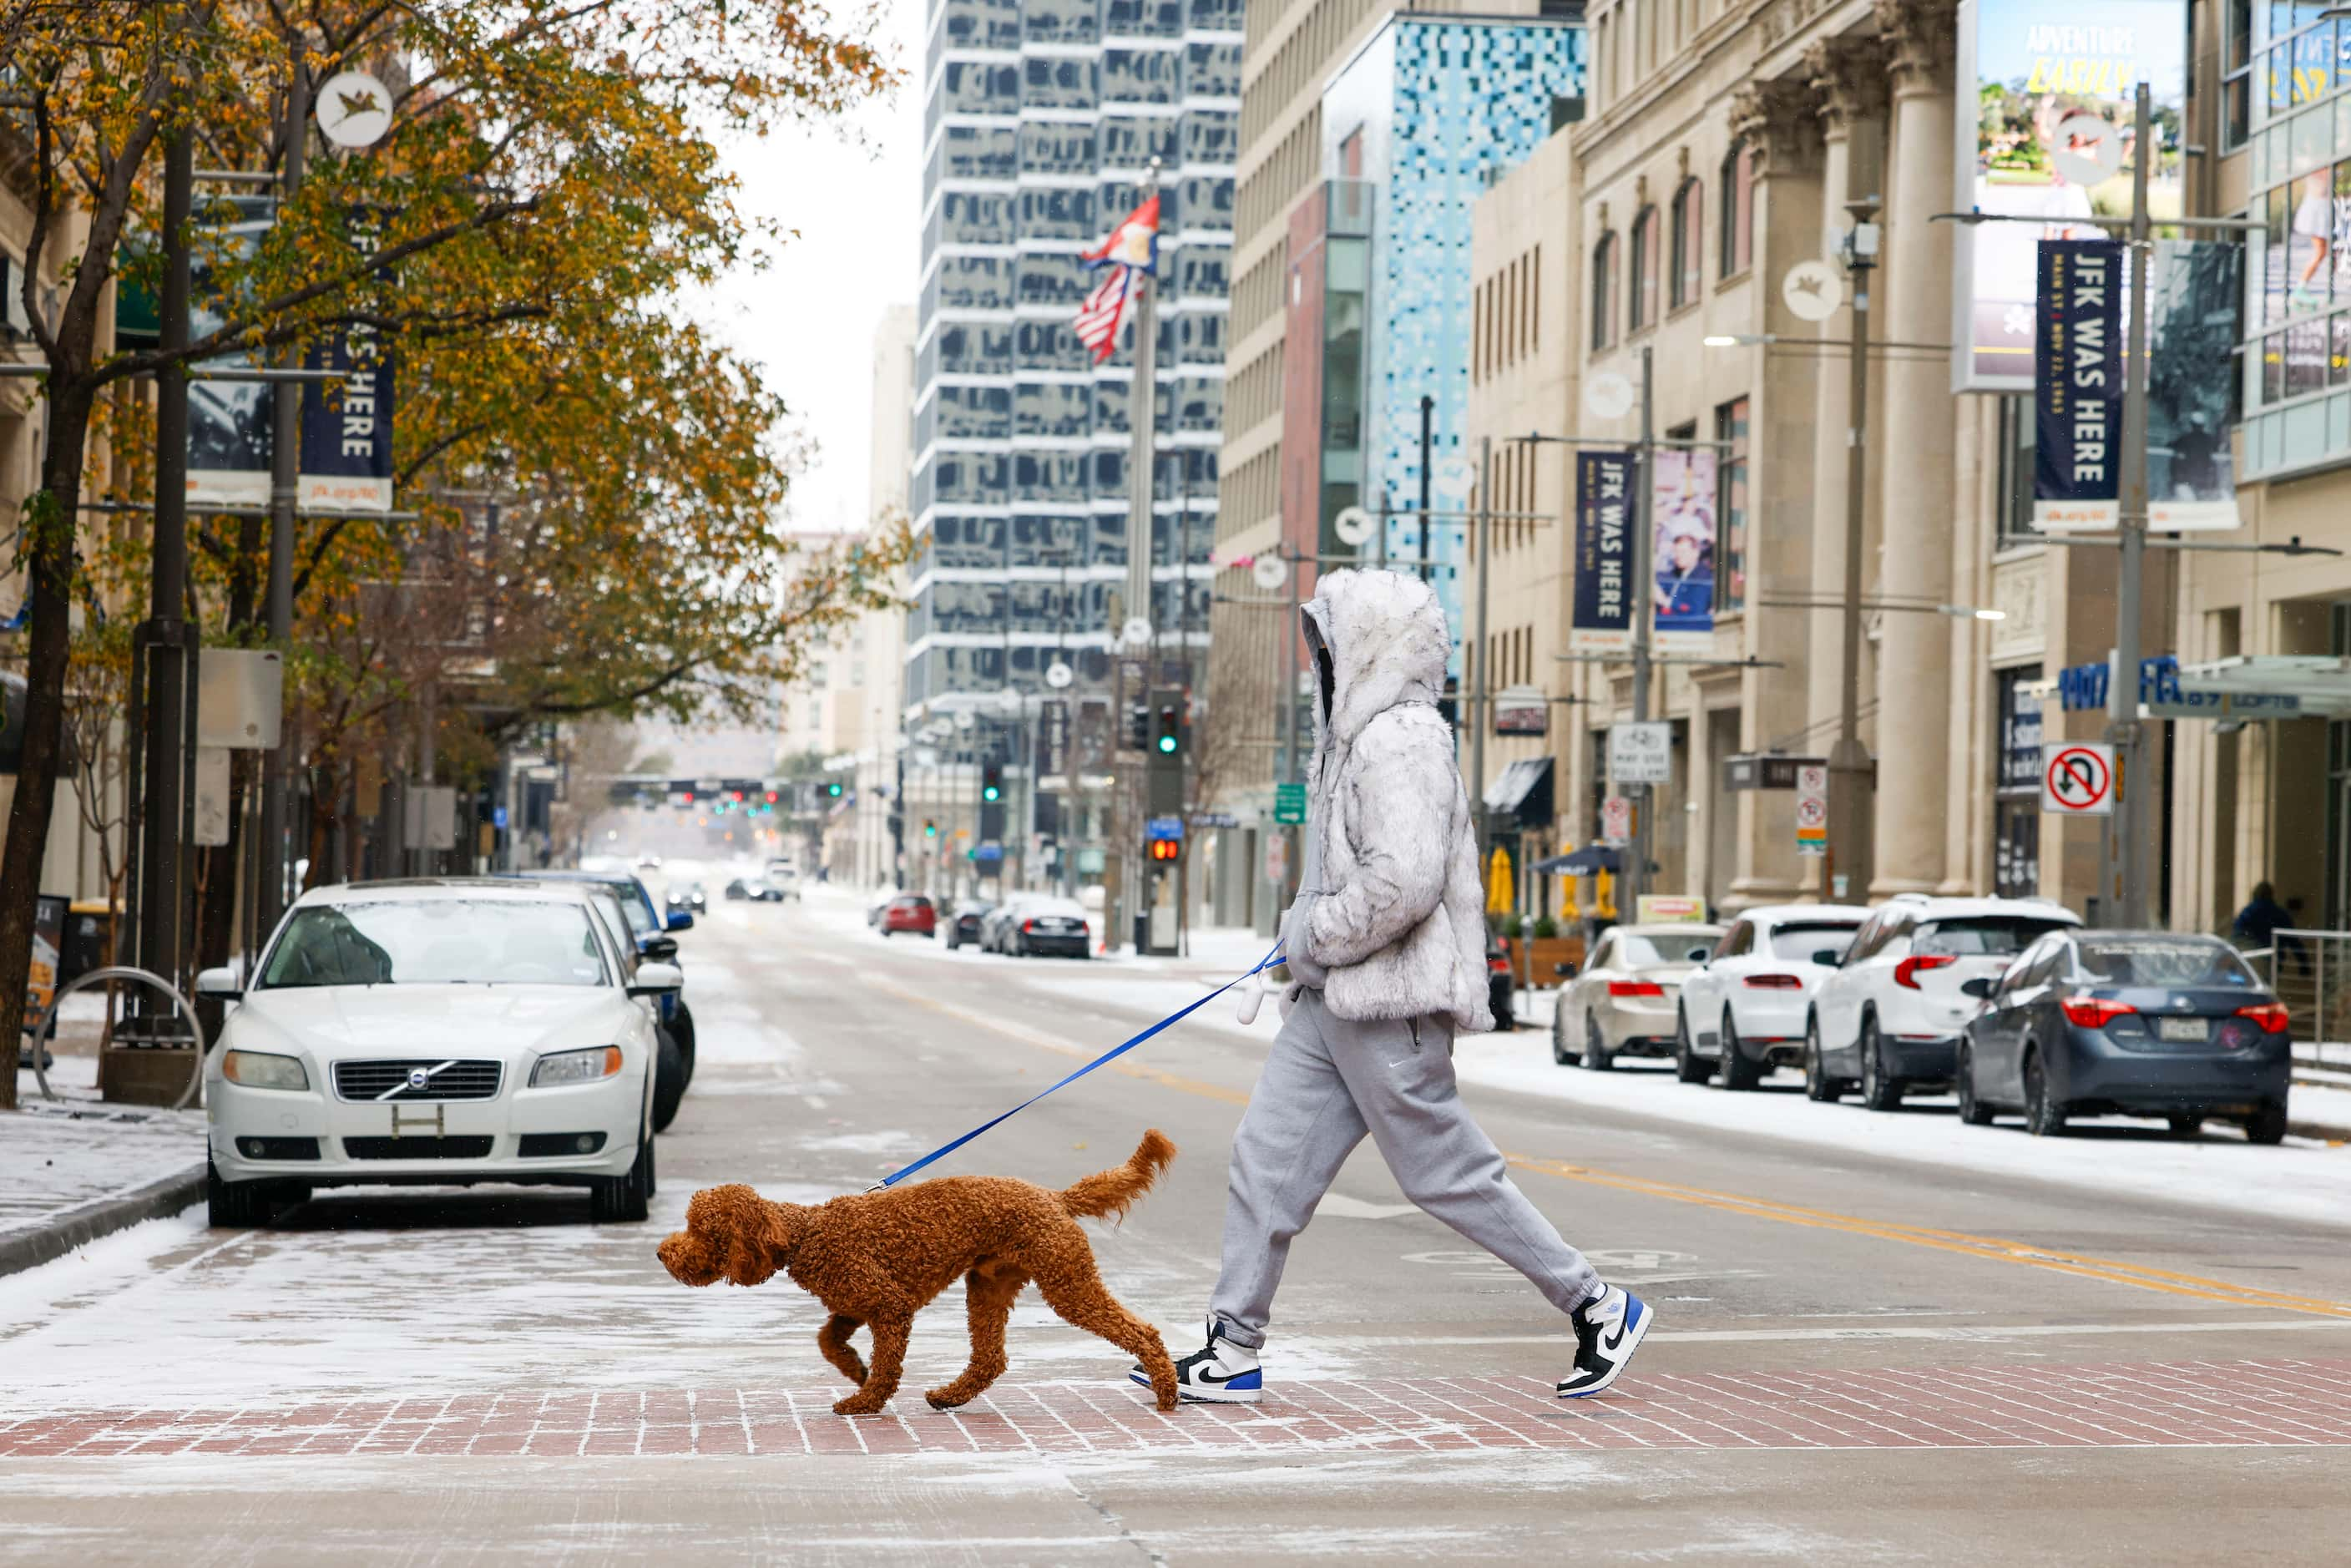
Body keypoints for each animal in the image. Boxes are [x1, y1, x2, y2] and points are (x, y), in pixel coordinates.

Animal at [658, 1123, 1176, 1419]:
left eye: (701, 1230)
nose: (663, 1253)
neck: (806, 1234)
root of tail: (1055, 1198)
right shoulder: (854, 1303)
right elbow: (827, 1340)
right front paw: (855, 1369)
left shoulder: (889, 1305)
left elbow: (888, 1364)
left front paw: (865, 1401)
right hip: (988, 1286)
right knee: (990, 1359)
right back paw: (950, 1396)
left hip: (1065, 1280)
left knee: (1142, 1332)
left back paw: (1167, 1391)